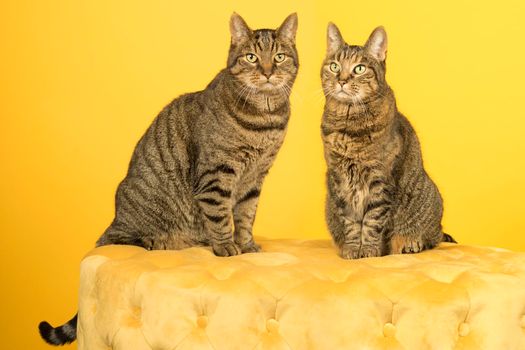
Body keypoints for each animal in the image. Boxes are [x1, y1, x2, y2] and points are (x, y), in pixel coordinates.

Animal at [39, 13, 296, 344]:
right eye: (252, 57)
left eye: (279, 57)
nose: (266, 72)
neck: (265, 118)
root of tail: (114, 220)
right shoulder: (216, 175)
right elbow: (222, 217)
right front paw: (227, 246)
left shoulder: (255, 179)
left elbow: (246, 215)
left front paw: (247, 243)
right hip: (131, 225)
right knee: (125, 239)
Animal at [320, 23, 454, 260]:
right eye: (334, 66)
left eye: (359, 69)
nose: (341, 80)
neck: (347, 125)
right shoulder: (339, 179)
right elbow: (351, 221)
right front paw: (353, 248)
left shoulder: (380, 180)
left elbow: (372, 220)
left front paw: (369, 250)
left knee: (432, 238)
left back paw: (411, 243)